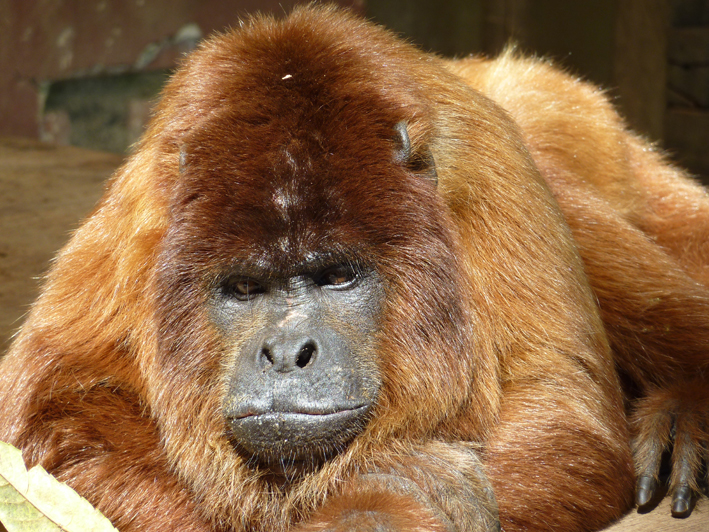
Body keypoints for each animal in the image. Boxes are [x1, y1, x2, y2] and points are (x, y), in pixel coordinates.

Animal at [1, 5, 708, 532]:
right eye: (245, 288)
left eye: (337, 276)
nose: (288, 353)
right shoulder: (137, 220)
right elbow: (52, 407)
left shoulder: (487, 176)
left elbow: (562, 402)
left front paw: (382, 510)